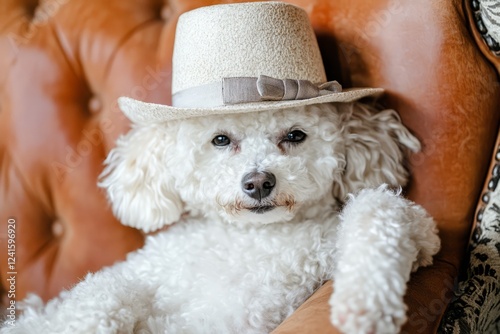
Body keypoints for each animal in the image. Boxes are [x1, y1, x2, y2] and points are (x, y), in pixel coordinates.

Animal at [0, 102, 440, 334]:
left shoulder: (382, 232)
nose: (258, 182)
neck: (249, 239)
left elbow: (383, 212)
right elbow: (101, 295)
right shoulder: (140, 273)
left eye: (296, 135)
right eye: (221, 139)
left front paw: (364, 305)